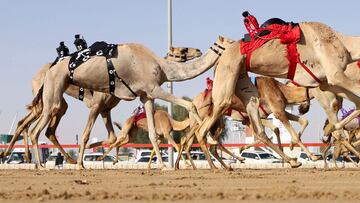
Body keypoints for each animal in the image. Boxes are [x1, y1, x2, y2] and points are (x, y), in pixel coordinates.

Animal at [0, 46, 200, 169]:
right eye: (181, 50)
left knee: (40, 127)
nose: (197, 50)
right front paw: (86, 159)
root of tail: (38, 73)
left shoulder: (106, 109)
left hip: (55, 103)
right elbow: (90, 135)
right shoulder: (97, 106)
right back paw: (17, 156)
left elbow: (112, 137)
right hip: (46, 99)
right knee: (29, 123)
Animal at [26, 36, 235, 170]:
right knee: (36, 129)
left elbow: (152, 134)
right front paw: (209, 136)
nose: (197, 50)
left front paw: (162, 166)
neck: (162, 68)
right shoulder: (153, 89)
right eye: (182, 49)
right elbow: (190, 105)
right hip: (54, 91)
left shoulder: (146, 96)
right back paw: (43, 166)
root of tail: (50, 68)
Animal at [195, 21, 360, 169]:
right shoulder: (334, 76)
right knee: (203, 129)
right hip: (226, 77)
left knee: (257, 128)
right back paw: (216, 166)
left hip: (242, 81)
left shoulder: (326, 82)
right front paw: (311, 152)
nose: (336, 104)